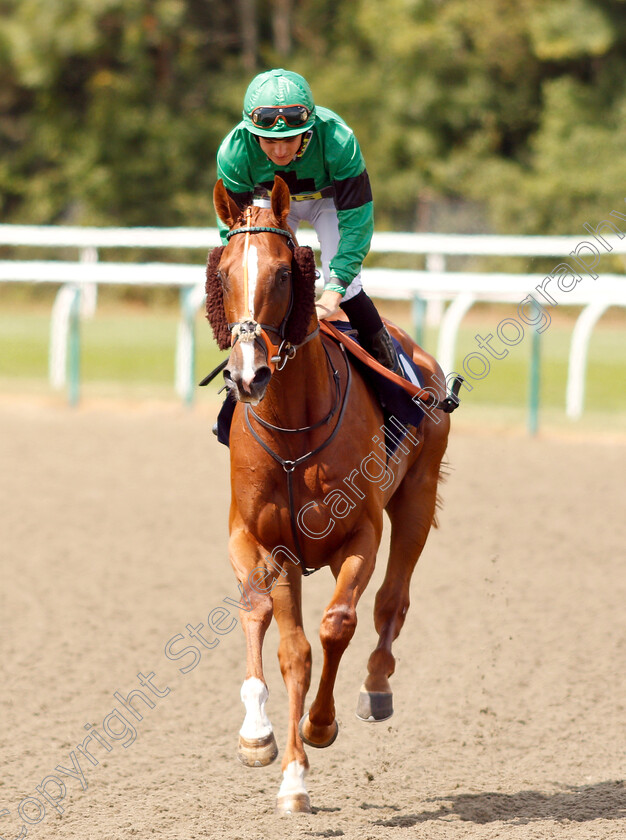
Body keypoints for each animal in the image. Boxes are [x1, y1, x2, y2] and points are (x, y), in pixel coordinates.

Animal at [207, 177, 450, 812]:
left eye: (282, 273)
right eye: (224, 275)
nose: (247, 375)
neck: (296, 427)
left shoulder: (360, 533)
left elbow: (338, 624)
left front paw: (318, 726)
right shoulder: (259, 539)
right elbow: (280, 636)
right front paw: (271, 750)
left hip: (416, 499)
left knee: (392, 600)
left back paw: (377, 685)